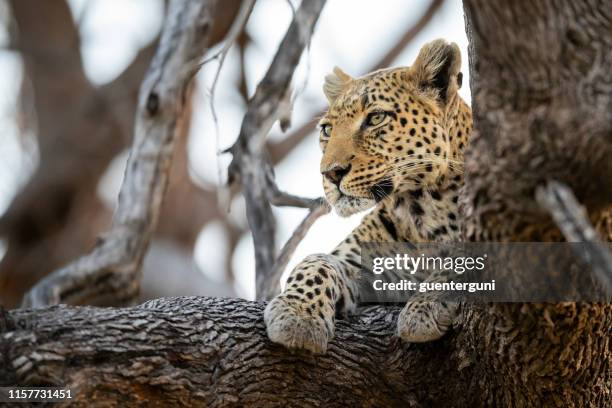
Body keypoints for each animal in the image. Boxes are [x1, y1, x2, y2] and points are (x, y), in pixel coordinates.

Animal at [264, 39, 474, 354]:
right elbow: (316, 261)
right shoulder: (360, 264)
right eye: (327, 129)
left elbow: (464, 259)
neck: (422, 207)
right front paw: (297, 313)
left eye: (375, 118)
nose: (331, 173)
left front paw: (424, 307)